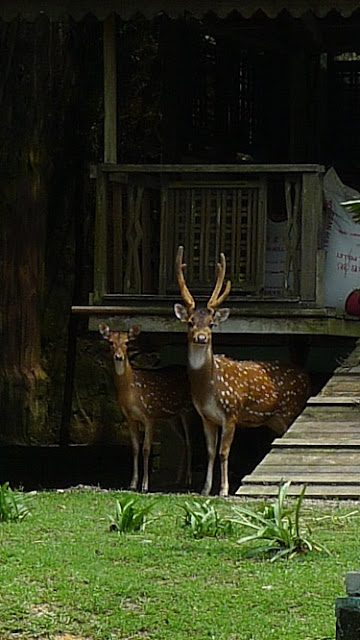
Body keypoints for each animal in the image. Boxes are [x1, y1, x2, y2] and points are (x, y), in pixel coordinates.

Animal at [98, 322, 194, 492]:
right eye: (110, 342)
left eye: (127, 343)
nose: (118, 357)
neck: (132, 393)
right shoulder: (130, 418)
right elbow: (135, 448)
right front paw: (132, 483)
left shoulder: (150, 415)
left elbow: (146, 449)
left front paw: (145, 485)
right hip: (172, 416)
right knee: (183, 441)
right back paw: (178, 479)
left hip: (187, 409)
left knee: (190, 442)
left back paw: (188, 479)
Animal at [174, 248, 310, 498]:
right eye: (190, 322)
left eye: (211, 323)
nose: (201, 337)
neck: (209, 388)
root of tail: (307, 377)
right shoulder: (206, 417)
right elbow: (209, 451)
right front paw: (205, 489)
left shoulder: (232, 412)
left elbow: (224, 452)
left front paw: (224, 490)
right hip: (275, 420)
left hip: (291, 410)